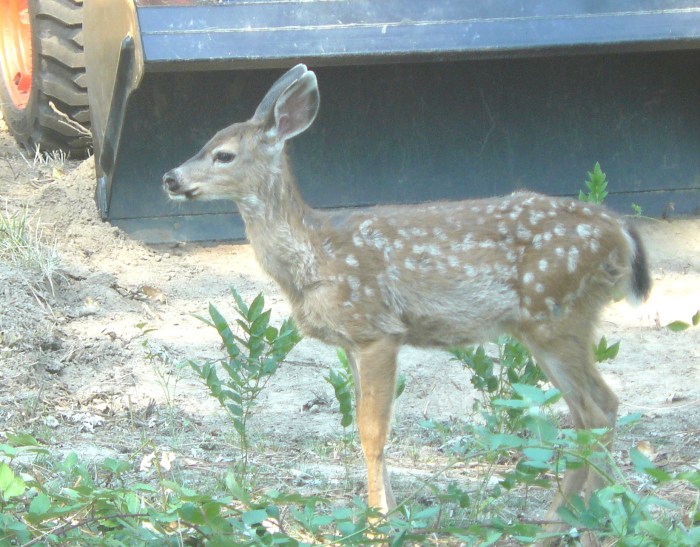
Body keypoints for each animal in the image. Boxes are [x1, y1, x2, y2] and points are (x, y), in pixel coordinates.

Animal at [163, 64, 651, 540]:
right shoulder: (351, 341)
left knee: (598, 411)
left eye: (223, 154)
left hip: (557, 313)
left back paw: (579, 524)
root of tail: (622, 233)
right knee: (595, 411)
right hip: (549, 323)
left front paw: (377, 523)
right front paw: (389, 517)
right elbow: (366, 425)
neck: (314, 256)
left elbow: (372, 430)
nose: (170, 177)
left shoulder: (377, 328)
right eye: (205, 142)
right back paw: (568, 525)